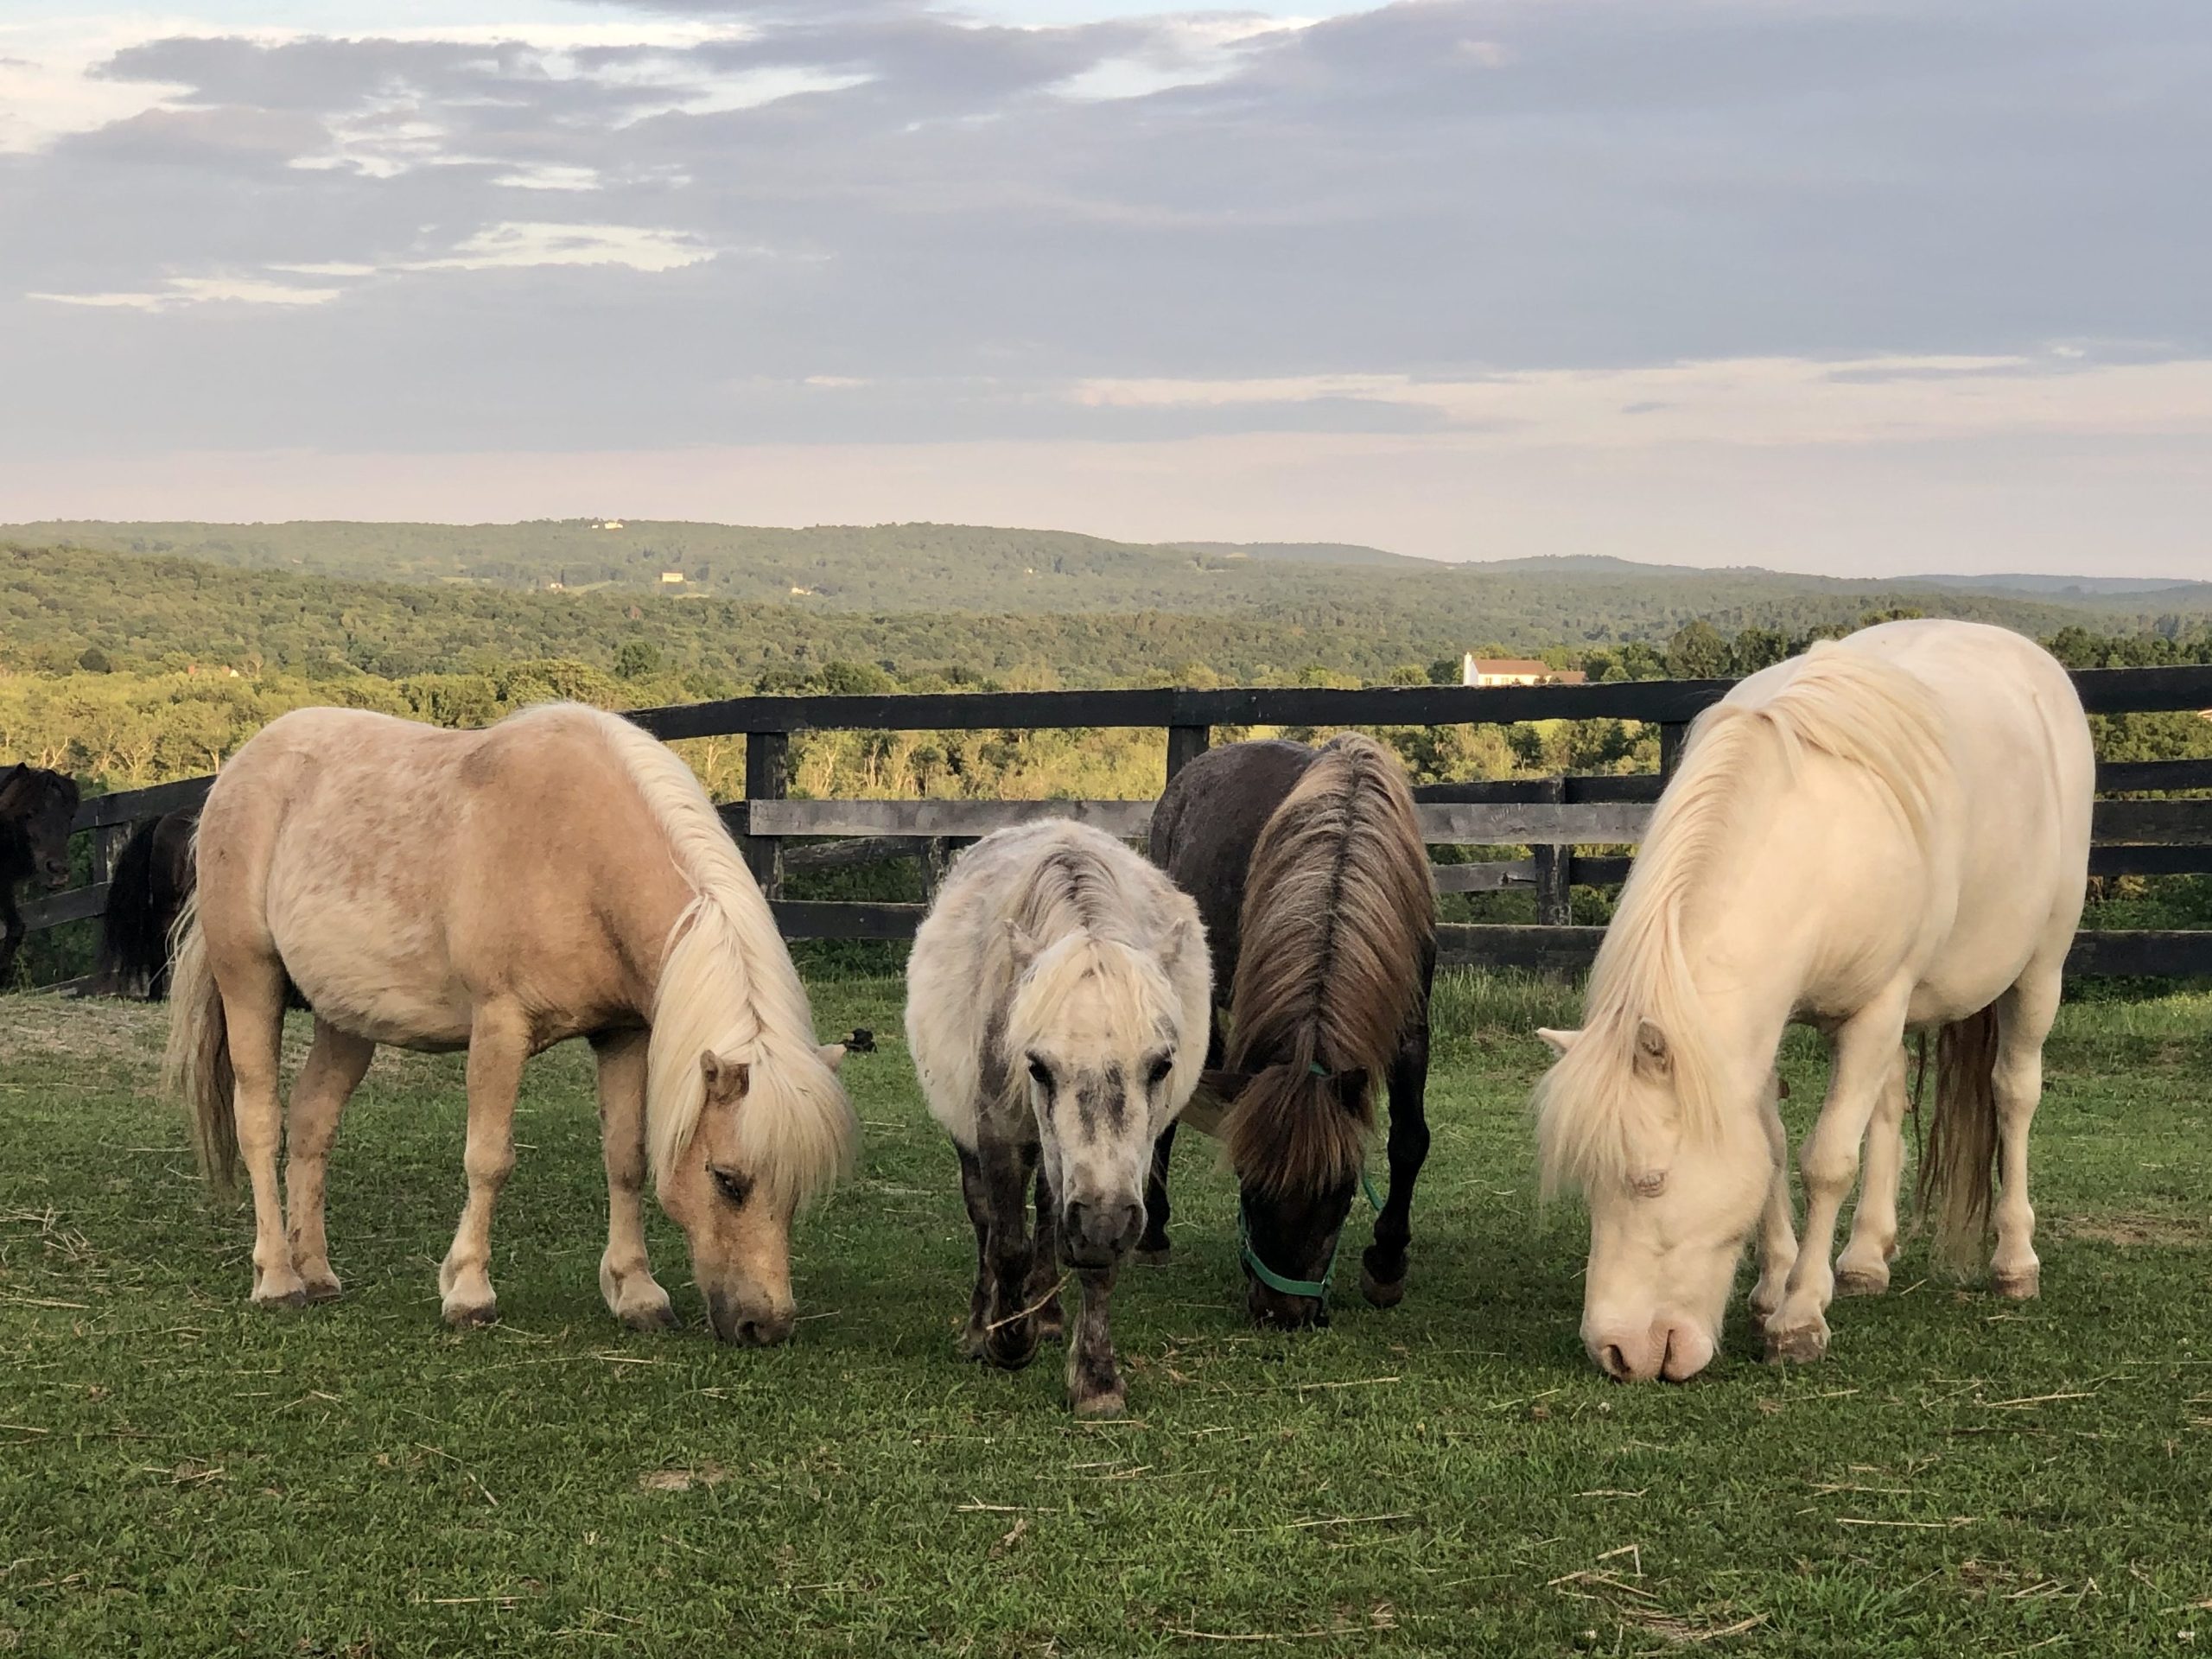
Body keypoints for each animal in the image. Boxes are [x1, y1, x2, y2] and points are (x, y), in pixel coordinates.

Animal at [164, 701, 858, 1344]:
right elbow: (488, 1159)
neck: (581, 854)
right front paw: (469, 1292)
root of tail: (241, 766)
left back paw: (316, 1272)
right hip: (249, 980)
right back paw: (278, 1278)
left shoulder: (623, 1035)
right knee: (261, 1122)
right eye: (727, 1179)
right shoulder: (501, 1026)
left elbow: (626, 1159)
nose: (763, 1326)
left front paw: (636, 1293)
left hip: (347, 1018)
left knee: (313, 1124)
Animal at [906, 819, 1209, 1417]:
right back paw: (983, 1325)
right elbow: (1006, 1244)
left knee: (1048, 1215)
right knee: (986, 1220)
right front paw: (1006, 1339)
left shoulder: (1114, 1182)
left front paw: (1096, 1379)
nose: (1101, 1221)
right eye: (1038, 1066)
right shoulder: (999, 1137)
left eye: (1161, 1065)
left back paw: (1044, 1315)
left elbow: (1087, 1258)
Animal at [1147, 733, 1437, 1328]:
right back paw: (1153, 1235)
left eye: (1342, 1192)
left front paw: (1386, 1265)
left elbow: (1409, 1140)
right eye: (1248, 1184)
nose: (1283, 1313)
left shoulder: (1412, 1025)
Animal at [1534, 619, 2093, 1382]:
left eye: (1650, 1181)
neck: (1812, 837)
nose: (1618, 1353)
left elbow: (1826, 1160)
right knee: (1889, 1103)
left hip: (2038, 971)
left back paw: (2014, 1261)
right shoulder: (1761, 1032)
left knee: (2014, 1094)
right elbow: (1771, 1150)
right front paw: (1776, 1287)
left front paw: (1798, 1318)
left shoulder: (1875, 1010)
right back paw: (1863, 1259)